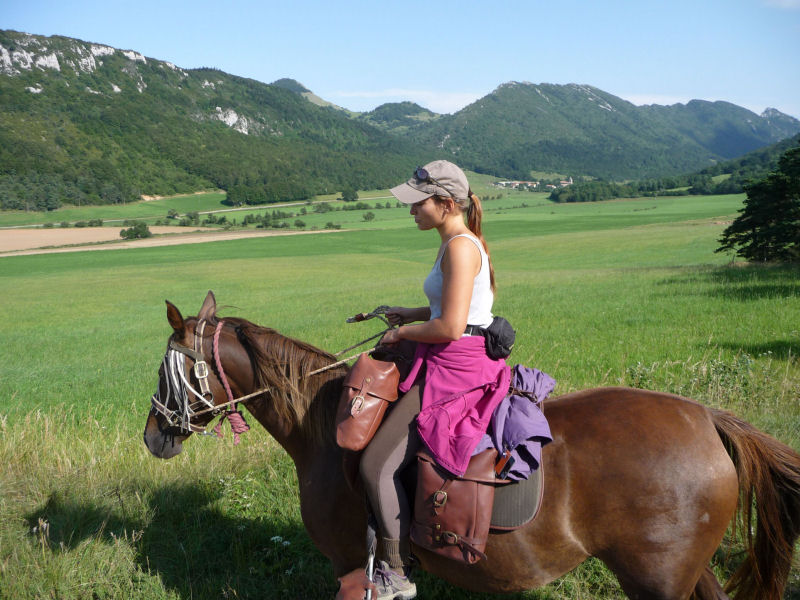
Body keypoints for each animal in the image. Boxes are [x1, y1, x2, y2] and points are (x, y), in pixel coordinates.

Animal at [144, 292, 800, 596]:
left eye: (165, 367)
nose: (153, 435)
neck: (326, 426)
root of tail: (706, 418)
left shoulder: (351, 562)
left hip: (657, 580)